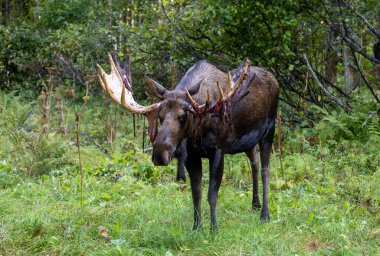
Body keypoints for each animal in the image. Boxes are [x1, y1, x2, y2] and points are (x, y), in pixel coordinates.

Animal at [96, 52, 280, 230]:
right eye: (160, 117)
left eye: (183, 116)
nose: (160, 155)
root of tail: (274, 79)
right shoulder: (191, 155)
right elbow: (196, 193)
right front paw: (196, 227)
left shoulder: (218, 150)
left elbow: (212, 195)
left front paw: (214, 228)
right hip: (248, 142)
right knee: (254, 163)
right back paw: (255, 204)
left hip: (269, 131)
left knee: (265, 169)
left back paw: (265, 214)